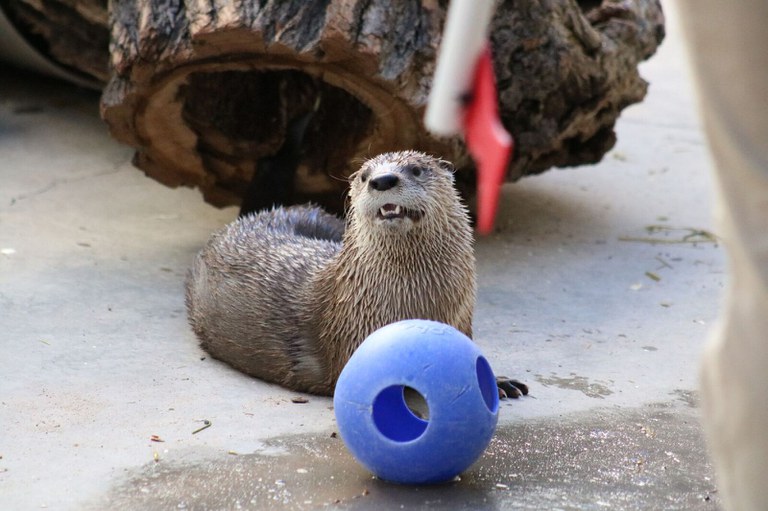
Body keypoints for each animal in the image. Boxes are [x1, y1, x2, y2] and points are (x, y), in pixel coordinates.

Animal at [184, 150, 528, 398]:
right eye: (365, 176)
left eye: (416, 169)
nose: (383, 180)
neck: (417, 304)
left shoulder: (462, 320)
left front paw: (498, 380)